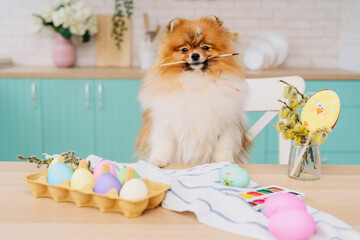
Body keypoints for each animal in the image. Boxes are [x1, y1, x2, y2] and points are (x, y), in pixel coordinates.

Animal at [135, 15, 250, 167]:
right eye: (184, 49)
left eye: (205, 47)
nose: (195, 55)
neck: (196, 79)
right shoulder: (165, 122)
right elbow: (162, 144)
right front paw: (158, 160)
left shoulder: (226, 122)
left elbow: (224, 144)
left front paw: (224, 159)